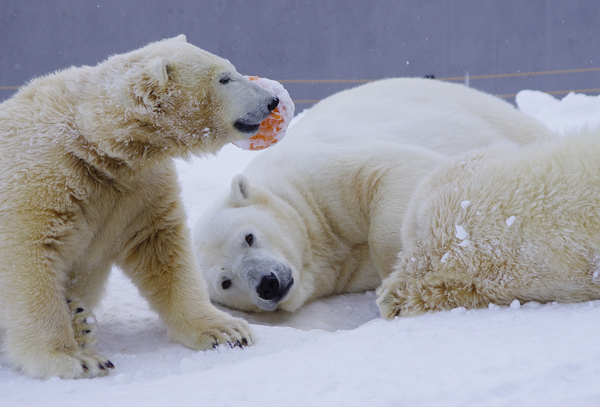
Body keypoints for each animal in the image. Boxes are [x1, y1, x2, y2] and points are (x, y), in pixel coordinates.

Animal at [0, 35, 278, 380]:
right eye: (224, 78)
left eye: (231, 69)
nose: (272, 100)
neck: (97, 144)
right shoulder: (43, 179)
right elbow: (29, 258)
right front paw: (75, 359)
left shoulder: (138, 189)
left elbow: (163, 248)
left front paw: (227, 331)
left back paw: (80, 318)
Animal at [195, 78, 556, 314]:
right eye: (225, 282)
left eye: (249, 237)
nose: (267, 284)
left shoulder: (317, 171)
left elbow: (396, 170)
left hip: (495, 117)